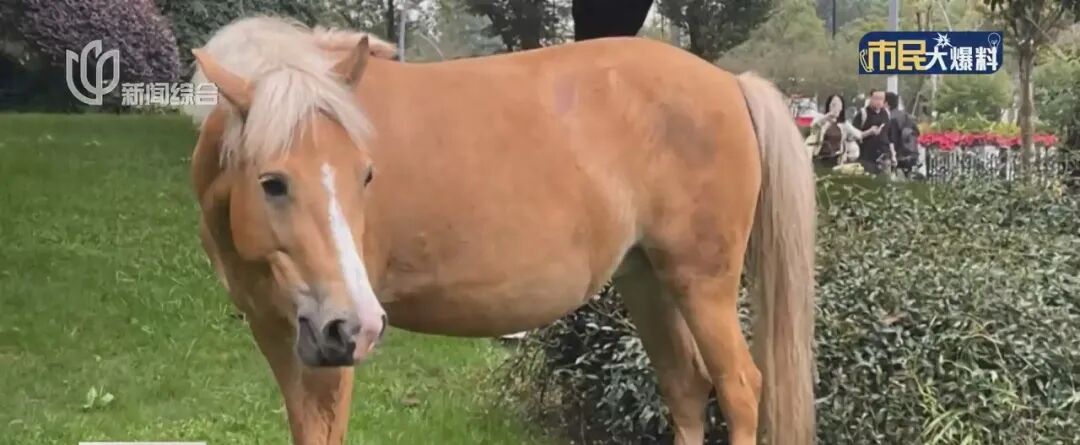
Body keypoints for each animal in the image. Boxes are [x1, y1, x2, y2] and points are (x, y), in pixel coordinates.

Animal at [184, 16, 816, 445]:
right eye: (272, 182)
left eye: (366, 174)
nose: (354, 324)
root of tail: (730, 84)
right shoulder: (280, 333)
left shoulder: (330, 355)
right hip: (647, 280)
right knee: (685, 388)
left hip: (701, 283)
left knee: (739, 388)